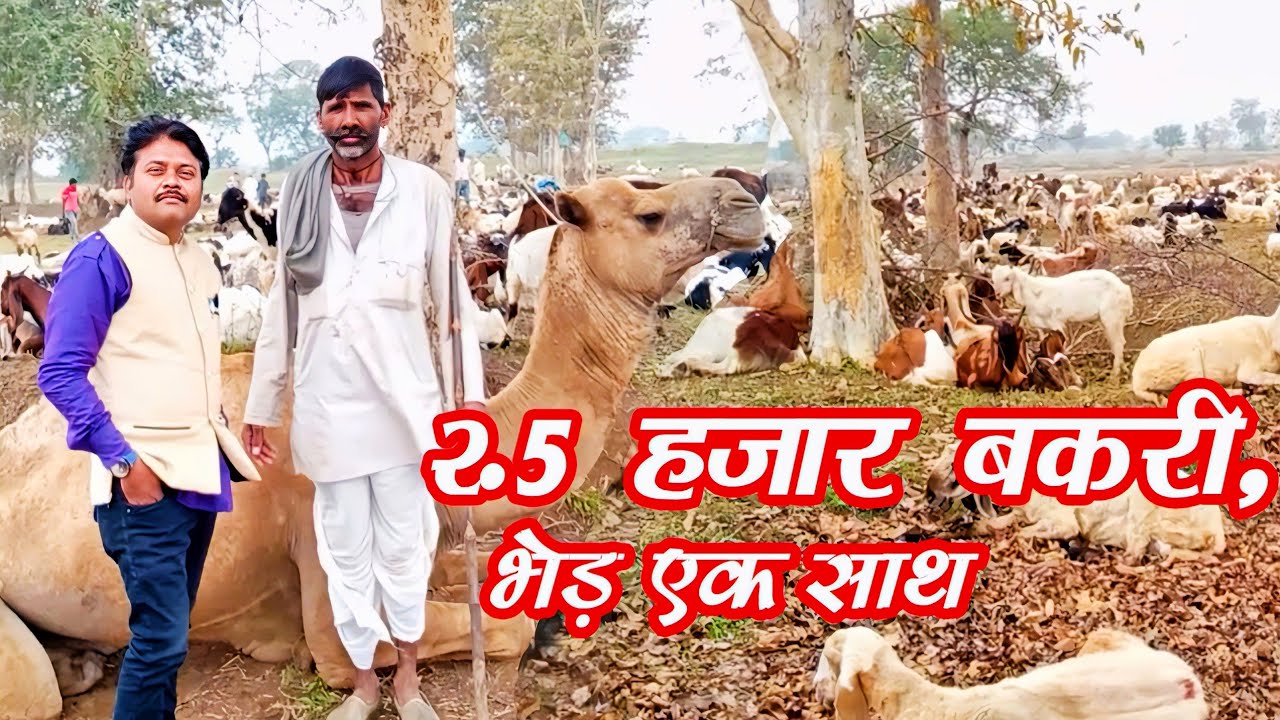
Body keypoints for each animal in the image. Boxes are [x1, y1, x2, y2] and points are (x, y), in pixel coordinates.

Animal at [988, 265, 1133, 378]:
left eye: (1007, 278)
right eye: (993, 280)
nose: (997, 294)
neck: (1034, 294)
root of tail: (1125, 290)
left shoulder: (1056, 323)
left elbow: (1061, 349)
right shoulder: (1044, 327)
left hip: (1112, 316)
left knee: (1118, 343)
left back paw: (1114, 376)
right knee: (1118, 342)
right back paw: (1123, 370)